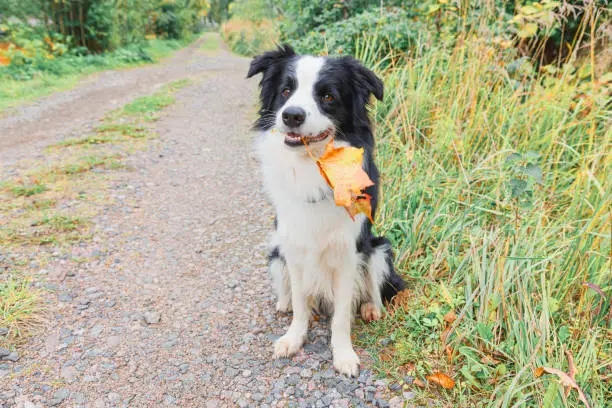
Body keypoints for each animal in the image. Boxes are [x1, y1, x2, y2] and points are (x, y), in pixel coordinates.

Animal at [246, 44, 404, 376]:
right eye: (286, 90)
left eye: (328, 96)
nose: (291, 115)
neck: (314, 165)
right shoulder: (293, 247)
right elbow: (301, 306)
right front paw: (294, 338)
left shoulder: (347, 254)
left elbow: (342, 315)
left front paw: (343, 355)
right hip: (276, 252)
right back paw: (285, 302)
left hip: (379, 247)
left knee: (373, 287)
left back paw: (371, 308)